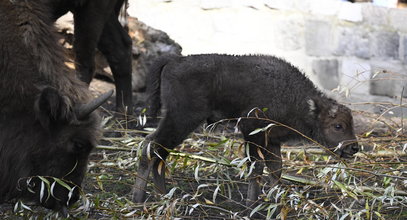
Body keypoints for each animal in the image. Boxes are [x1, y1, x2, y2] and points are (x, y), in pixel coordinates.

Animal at [132, 53, 358, 206]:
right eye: (338, 125)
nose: (353, 148)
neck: (296, 98)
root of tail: (174, 60)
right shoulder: (251, 131)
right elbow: (255, 167)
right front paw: (252, 205)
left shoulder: (271, 140)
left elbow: (276, 169)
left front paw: (276, 201)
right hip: (181, 119)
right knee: (151, 147)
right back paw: (140, 199)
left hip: (177, 123)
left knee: (159, 153)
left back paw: (162, 196)